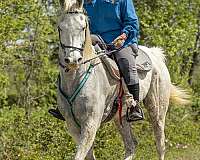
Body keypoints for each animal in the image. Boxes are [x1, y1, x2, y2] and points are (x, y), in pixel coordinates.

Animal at [56, 0, 191, 159]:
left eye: (83, 28)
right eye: (60, 28)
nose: (72, 60)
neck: (76, 78)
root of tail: (154, 54)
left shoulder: (90, 123)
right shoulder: (73, 125)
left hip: (157, 110)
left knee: (160, 143)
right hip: (120, 118)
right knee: (131, 145)